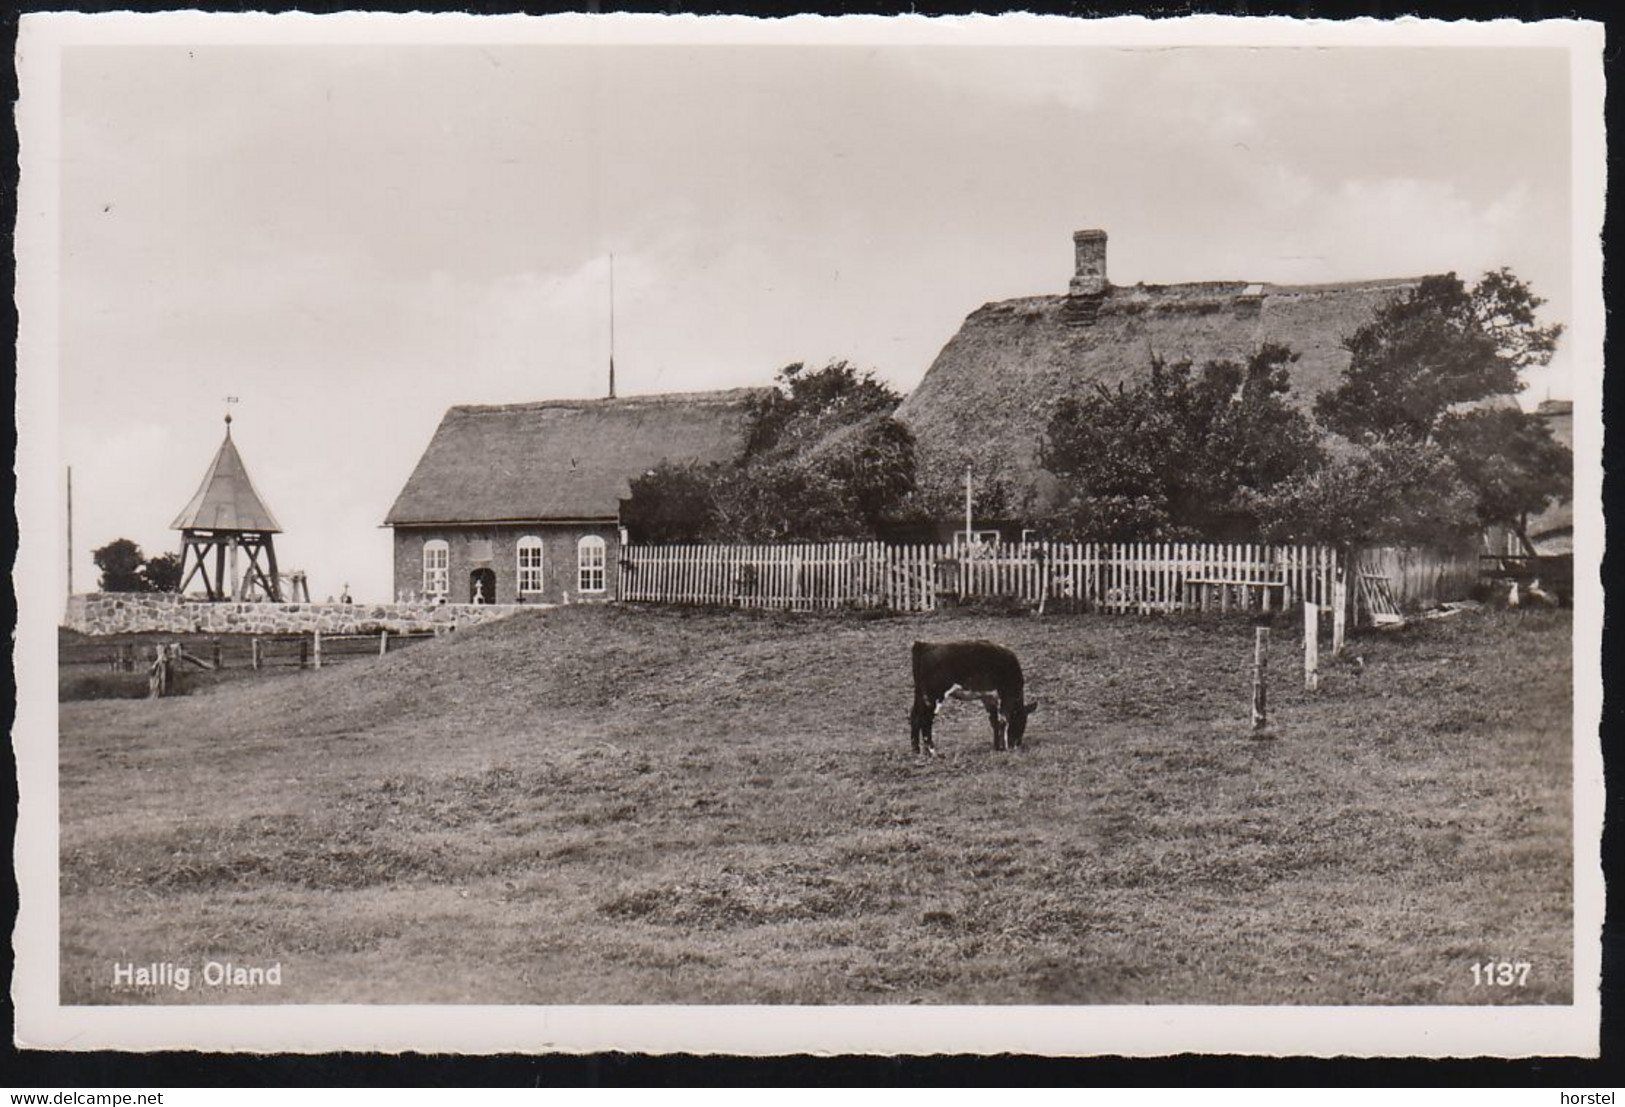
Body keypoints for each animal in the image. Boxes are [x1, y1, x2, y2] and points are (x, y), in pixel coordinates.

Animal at [903, 640, 1040, 751]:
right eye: (1022, 721)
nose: (1016, 744)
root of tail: (925, 645)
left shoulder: (988, 698)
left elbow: (994, 721)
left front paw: (997, 747)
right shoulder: (1006, 696)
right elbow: (1003, 720)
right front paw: (1003, 747)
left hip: (921, 695)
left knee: (915, 717)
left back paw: (916, 751)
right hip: (934, 697)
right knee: (926, 721)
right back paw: (932, 752)